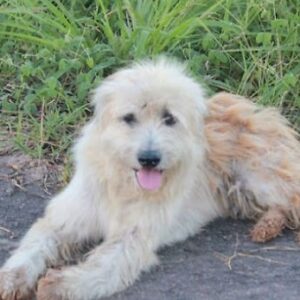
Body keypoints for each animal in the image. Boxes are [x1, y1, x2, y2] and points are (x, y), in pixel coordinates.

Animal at [0, 58, 300, 300]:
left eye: (169, 118)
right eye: (129, 117)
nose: (149, 159)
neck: (122, 186)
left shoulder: (133, 238)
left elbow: (102, 266)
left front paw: (62, 284)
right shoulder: (65, 219)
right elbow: (34, 246)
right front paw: (12, 279)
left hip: (257, 178)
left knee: (290, 202)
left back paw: (268, 225)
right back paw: (266, 226)